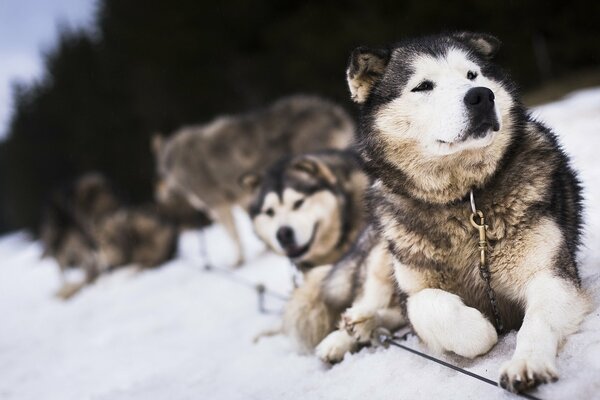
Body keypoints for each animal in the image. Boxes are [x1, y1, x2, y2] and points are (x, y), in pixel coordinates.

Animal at [152, 95, 354, 268]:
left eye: (161, 174)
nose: (158, 194)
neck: (176, 161)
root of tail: (331, 111)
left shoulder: (218, 207)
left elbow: (234, 237)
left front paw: (238, 261)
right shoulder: (244, 198)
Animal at [318, 32, 592, 394]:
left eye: (472, 75)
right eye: (423, 86)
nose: (481, 95)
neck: (466, 199)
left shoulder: (551, 275)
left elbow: (537, 322)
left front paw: (527, 364)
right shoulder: (415, 293)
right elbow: (434, 308)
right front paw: (481, 329)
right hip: (383, 255)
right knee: (372, 299)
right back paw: (348, 330)